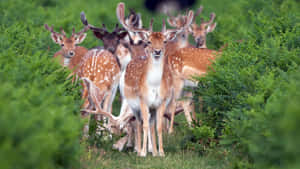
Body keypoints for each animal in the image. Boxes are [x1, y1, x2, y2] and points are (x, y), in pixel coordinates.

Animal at [115, 1, 195, 156]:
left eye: (164, 41)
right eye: (149, 41)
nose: (157, 51)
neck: (153, 86)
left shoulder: (161, 102)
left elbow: (157, 127)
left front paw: (161, 152)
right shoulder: (143, 101)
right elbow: (144, 125)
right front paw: (143, 152)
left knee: (150, 124)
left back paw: (153, 151)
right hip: (130, 103)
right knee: (138, 123)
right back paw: (138, 149)